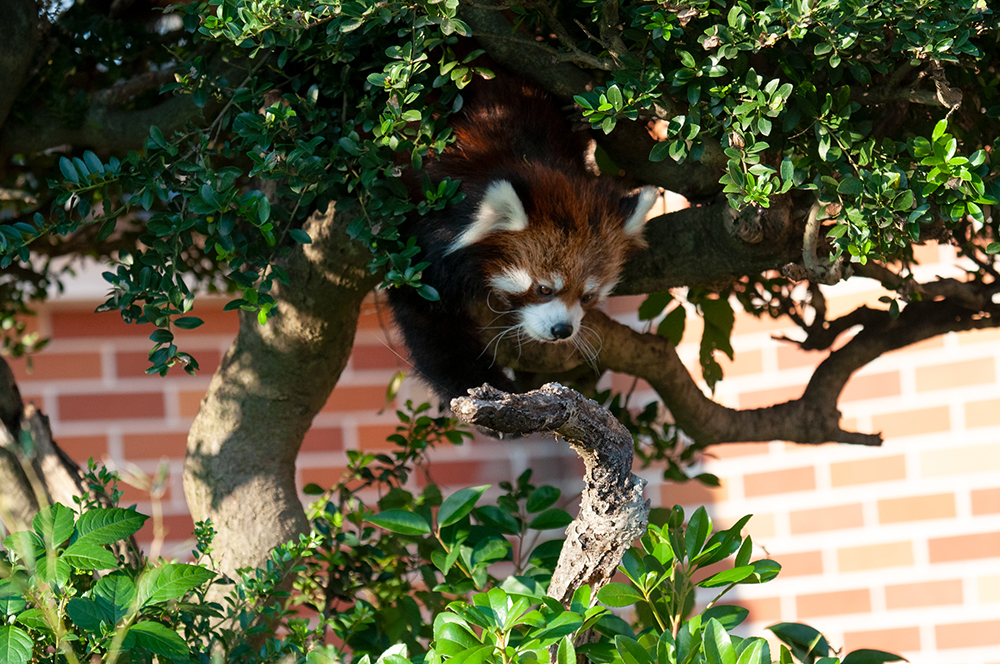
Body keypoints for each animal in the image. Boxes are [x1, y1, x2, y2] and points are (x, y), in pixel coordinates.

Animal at [386, 73, 660, 404]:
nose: (562, 330)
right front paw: (483, 384)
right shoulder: (425, 242)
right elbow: (430, 324)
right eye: (544, 289)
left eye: (587, 297)